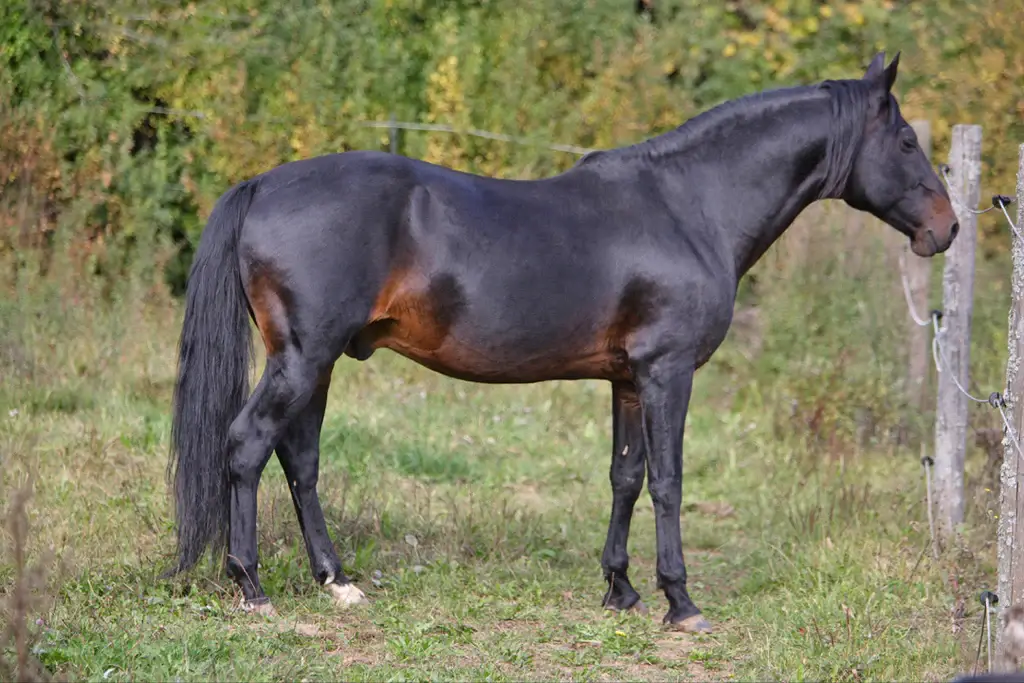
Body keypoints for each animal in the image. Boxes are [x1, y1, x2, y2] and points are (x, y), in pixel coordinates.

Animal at [165, 50, 958, 634]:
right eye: (907, 140)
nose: (945, 229)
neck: (689, 205)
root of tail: (264, 184)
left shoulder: (628, 378)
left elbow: (625, 477)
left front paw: (621, 590)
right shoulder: (668, 371)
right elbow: (669, 482)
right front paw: (681, 602)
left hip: (316, 361)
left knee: (299, 460)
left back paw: (337, 583)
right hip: (302, 358)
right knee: (247, 445)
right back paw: (252, 585)